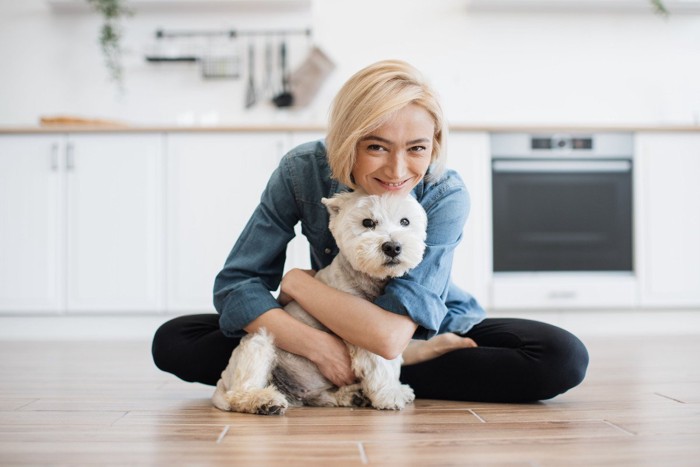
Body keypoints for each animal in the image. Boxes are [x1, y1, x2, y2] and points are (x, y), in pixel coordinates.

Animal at [213, 191, 430, 416]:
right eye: (367, 222)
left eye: (405, 221)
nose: (393, 247)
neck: (367, 279)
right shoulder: (366, 332)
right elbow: (380, 363)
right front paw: (389, 394)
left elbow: (393, 361)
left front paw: (397, 389)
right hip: (259, 345)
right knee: (240, 391)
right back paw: (264, 401)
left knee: (319, 397)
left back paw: (352, 395)